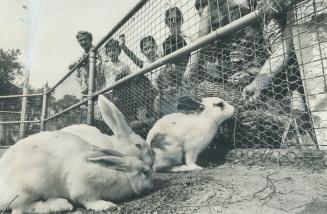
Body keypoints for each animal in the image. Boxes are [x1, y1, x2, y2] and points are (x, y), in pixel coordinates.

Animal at [0, 95, 154, 214]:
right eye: (138, 145)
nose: (152, 161)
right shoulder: (82, 184)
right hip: (30, 187)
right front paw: (105, 205)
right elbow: (86, 197)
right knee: (21, 208)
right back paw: (60, 205)